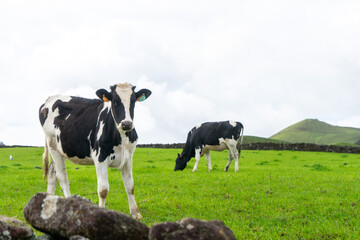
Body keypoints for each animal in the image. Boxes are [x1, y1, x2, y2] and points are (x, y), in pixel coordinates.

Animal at [38, 82, 151, 219]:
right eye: (115, 101)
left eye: (133, 101)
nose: (127, 124)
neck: (122, 138)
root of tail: (49, 99)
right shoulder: (100, 157)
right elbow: (103, 190)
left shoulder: (128, 157)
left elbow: (130, 186)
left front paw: (136, 213)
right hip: (52, 145)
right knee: (62, 176)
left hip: (62, 149)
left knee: (52, 172)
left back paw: (48, 204)